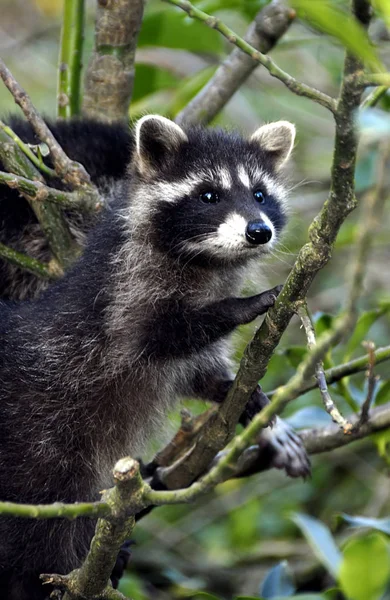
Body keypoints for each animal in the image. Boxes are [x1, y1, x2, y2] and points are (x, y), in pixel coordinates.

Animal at [0, 115, 310, 596]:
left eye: (260, 194)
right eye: (208, 195)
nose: (259, 231)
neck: (205, 262)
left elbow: (198, 372)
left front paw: (248, 404)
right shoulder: (121, 301)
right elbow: (162, 334)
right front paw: (240, 305)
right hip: (36, 439)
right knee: (40, 518)